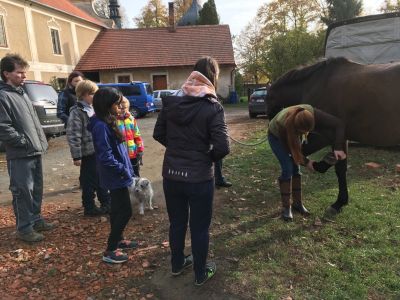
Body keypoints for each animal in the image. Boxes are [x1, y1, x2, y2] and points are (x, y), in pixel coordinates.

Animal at [268, 56, 400, 214]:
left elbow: (304, 156)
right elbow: (341, 168)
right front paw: (341, 201)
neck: (315, 83)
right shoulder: (342, 137)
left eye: (266, 100)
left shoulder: (325, 136)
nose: (271, 126)